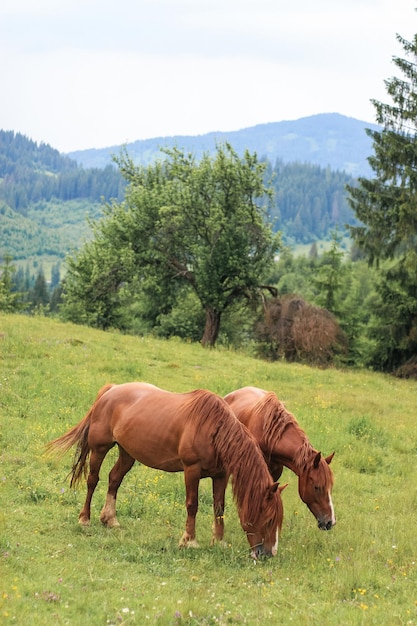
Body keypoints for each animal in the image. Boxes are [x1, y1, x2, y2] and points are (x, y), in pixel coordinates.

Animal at [47, 382, 284, 560]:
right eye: (268, 518)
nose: (268, 554)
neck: (213, 430)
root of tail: (111, 390)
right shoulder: (191, 470)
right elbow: (192, 505)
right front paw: (189, 541)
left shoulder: (221, 475)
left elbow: (219, 507)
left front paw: (218, 541)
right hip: (100, 448)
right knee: (93, 480)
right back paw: (84, 519)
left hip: (127, 453)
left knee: (114, 479)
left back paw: (110, 519)